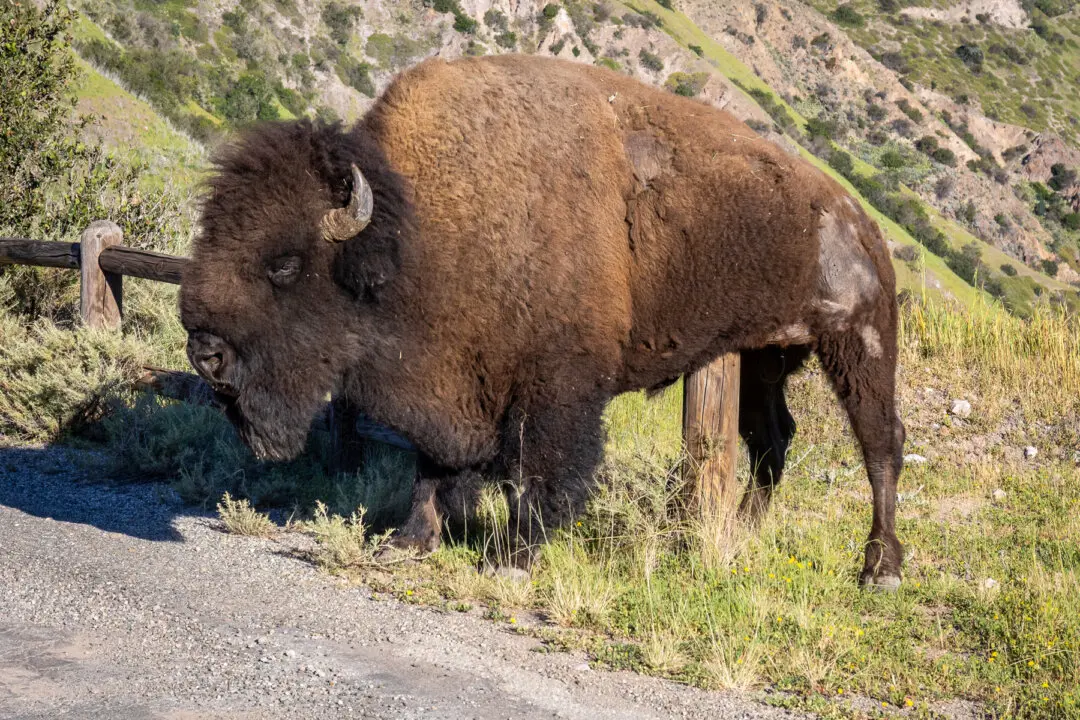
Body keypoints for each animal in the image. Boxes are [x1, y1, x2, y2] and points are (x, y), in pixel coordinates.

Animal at [181, 55, 905, 588]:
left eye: (283, 263)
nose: (205, 352)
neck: (415, 226)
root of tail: (860, 220)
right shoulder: (450, 381)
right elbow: (433, 465)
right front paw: (409, 542)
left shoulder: (556, 387)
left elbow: (540, 470)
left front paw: (512, 562)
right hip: (764, 358)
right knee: (773, 440)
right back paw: (739, 536)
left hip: (858, 345)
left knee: (881, 444)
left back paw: (878, 569)